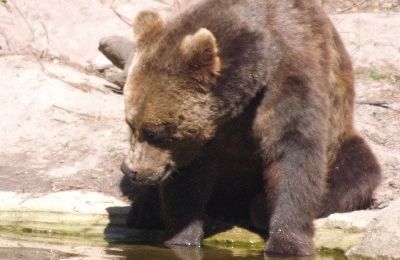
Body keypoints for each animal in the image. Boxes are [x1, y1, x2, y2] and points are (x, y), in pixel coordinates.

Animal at [119, 0, 382, 256]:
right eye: (130, 124)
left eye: (154, 132)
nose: (131, 170)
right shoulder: (206, 135)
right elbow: (189, 180)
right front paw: (181, 236)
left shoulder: (291, 76)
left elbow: (293, 155)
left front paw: (287, 242)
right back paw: (145, 210)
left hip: (342, 144)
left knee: (356, 170)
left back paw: (260, 207)